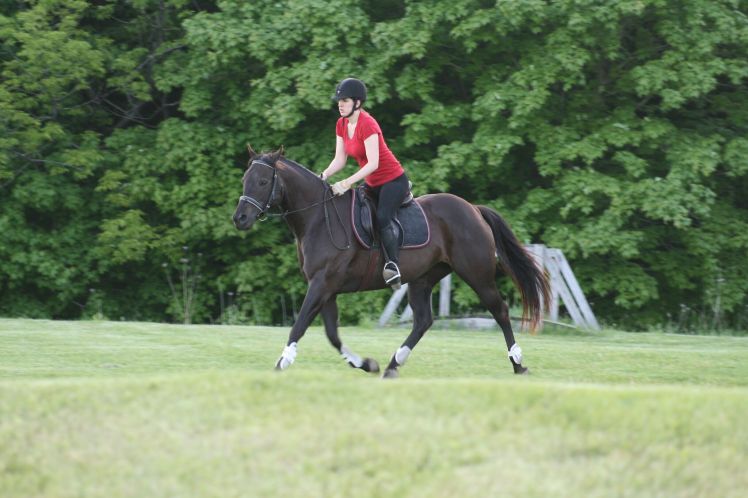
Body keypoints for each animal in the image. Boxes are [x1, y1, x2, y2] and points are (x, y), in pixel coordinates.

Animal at [232, 146, 550, 378]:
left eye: (263, 182)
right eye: (245, 180)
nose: (240, 219)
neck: (318, 218)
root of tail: (472, 208)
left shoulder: (321, 284)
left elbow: (299, 325)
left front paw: (282, 362)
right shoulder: (326, 288)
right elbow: (332, 335)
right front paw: (366, 364)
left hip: (477, 275)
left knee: (501, 311)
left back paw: (518, 363)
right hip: (422, 278)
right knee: (423, 321)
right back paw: (393, 364)